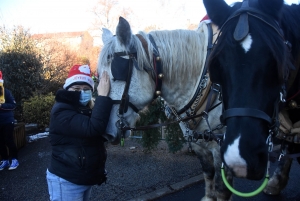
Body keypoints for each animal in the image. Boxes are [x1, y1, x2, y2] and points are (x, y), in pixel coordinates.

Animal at [97, 17, 231, 201]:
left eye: (118, 73)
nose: (106, 132)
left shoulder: (221, 148)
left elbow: (221, 190)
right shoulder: (199, 145)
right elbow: (208, 177)